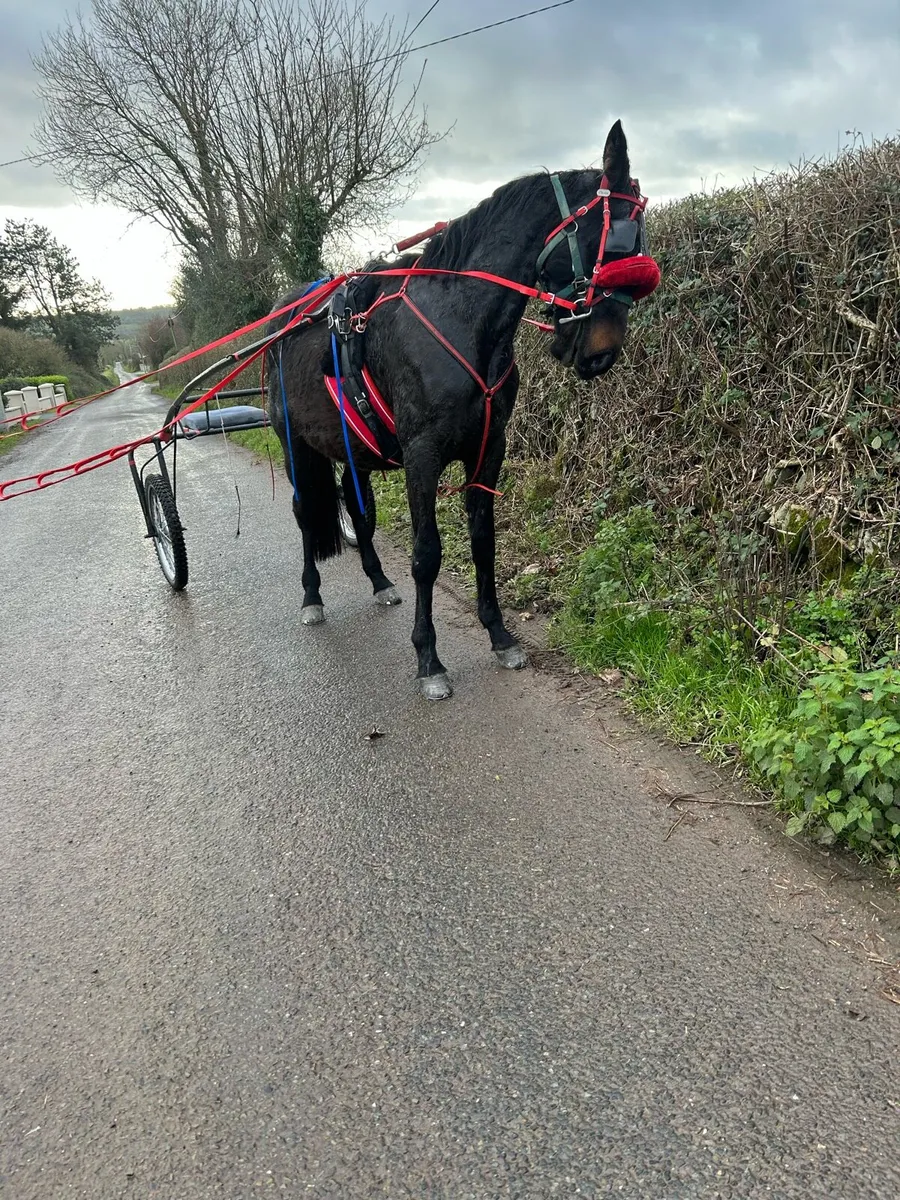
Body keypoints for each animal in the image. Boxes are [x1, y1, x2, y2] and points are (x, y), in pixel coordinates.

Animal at [266, 120, 659, 700]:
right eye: (615, 241)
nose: (601, 353)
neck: (457, 321)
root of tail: (282, 316)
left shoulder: (488, 450)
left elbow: (482, 542)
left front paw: (498, 634)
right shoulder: (422, 457)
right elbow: (427, 555)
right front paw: (428, 658)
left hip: (351, 447)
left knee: (356, 510)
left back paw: (378, 580)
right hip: (294, 444)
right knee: (302, 515)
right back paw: (311, 596)